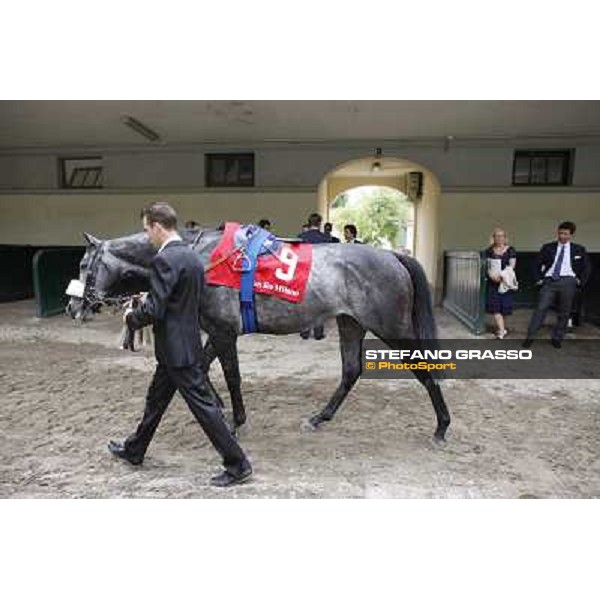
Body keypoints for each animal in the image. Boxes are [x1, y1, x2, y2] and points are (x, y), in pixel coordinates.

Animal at [67, 227, 450, 442]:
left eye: (84, 265)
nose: (72, 307)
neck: (201, 259)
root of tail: (392, 256)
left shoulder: (225, 331)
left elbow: (232, 376)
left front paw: (237, 422)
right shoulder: (214, 329)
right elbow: (202, 368)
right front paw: (218, 407)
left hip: (392, 327)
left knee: (423, 368)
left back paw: (442, 427)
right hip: (350, 322)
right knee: (350, 371)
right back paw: (319, 418)